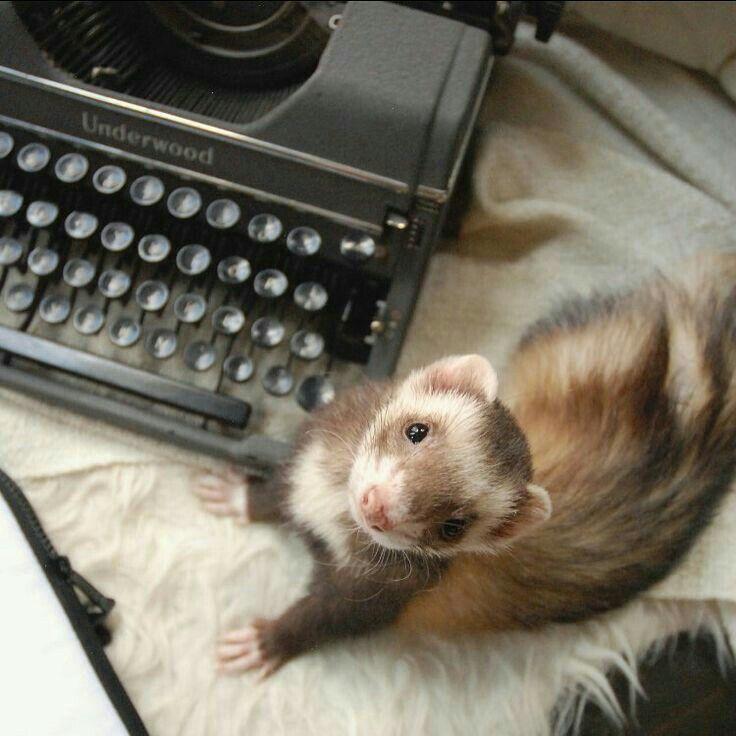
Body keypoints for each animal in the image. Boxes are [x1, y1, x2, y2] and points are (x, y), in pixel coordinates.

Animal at [195, 248, 736, 676]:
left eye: (454, 526)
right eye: (417, 430)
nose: (378, 506)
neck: (328, 513)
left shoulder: (373, 594)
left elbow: (320, 619)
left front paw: (261, 644)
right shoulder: (300, 467)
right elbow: (272, 495)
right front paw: (232, 495)